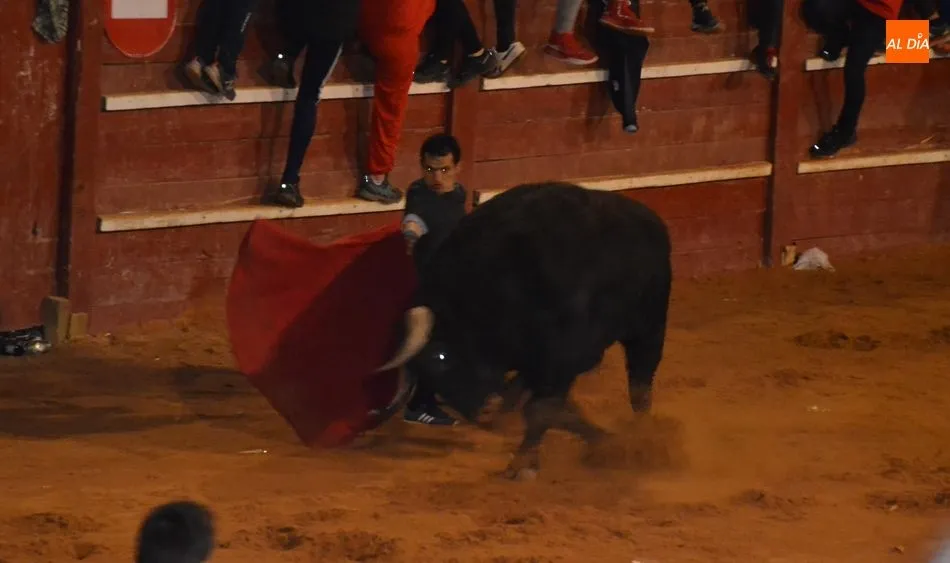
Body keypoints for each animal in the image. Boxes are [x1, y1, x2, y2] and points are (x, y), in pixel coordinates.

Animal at [372, 181, 673, 480]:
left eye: (441, 357)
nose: (483, 412)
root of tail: (650, 220)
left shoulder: (563, 358)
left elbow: (541, 409)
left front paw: (522, 463)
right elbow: (542, 406)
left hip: (649, 328)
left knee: (640, 386)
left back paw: (642, 436)